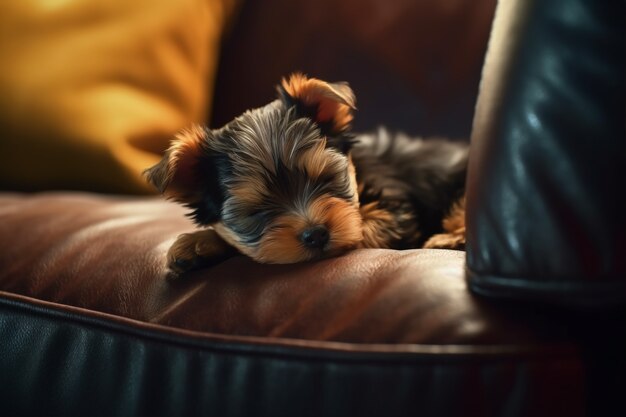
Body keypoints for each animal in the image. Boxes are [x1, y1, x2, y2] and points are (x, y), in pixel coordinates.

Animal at [146, 72, 466, 272]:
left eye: (326, 179)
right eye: (256, 212)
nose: (315, 234)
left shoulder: (395, 211)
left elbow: (360, 230)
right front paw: (199, 243)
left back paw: (451, 239)